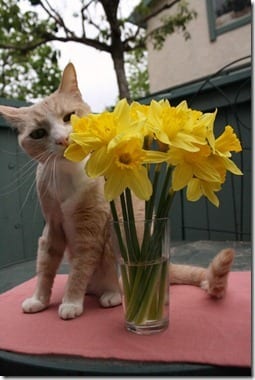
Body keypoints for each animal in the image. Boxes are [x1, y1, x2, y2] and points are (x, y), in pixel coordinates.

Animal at [0, 63, 235, 320]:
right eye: (38, 133)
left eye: (69, 116)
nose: (62, 140)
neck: (66, 176)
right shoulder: (52, 227)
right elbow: (45, 268)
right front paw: (38, 300)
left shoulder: (90, 230)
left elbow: (79, 271)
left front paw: (71, 302)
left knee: (118, 282)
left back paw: (112, 295)